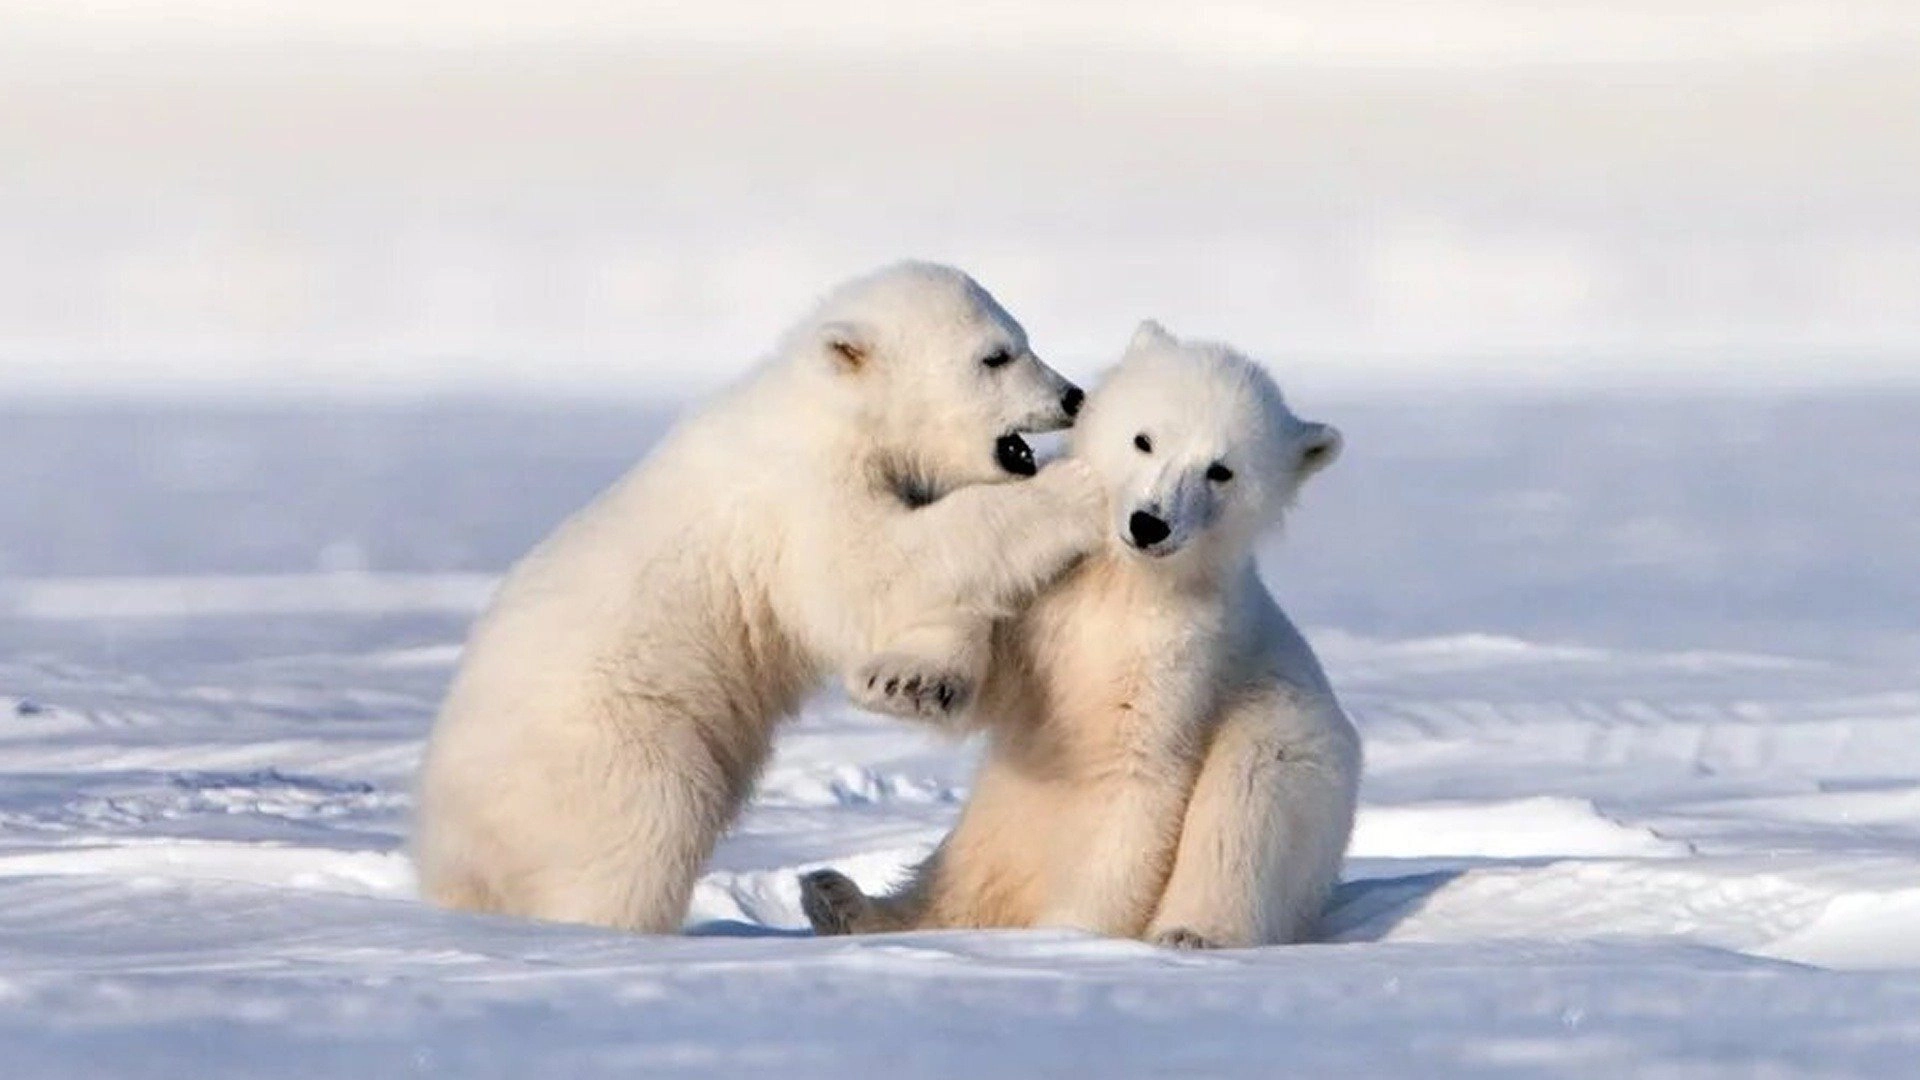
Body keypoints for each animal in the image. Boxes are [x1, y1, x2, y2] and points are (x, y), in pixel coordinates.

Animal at [411, 262, 1109, 933]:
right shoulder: (801, 492)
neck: (829, 407)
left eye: (1022, 338)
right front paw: (1079, 487)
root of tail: (449, 829)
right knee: (638, 838)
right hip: (609, 742)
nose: (1072, 395)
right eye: (996, 356)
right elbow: (872, 571)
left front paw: (911, 682)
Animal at [800, 321, 1362, 948]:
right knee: (962, 872)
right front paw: (908, 681)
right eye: (1144, 439)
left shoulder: (1181, 652)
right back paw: (842, 899)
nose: (1149, 523)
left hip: (1290, 746)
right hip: (1001, 807)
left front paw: (1072, 935)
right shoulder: (1046, 594)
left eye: (1221, 470)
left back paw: (1190, 932)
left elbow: (1131, 782)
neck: (1123, 580)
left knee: (1245, 817)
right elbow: (985, 633)